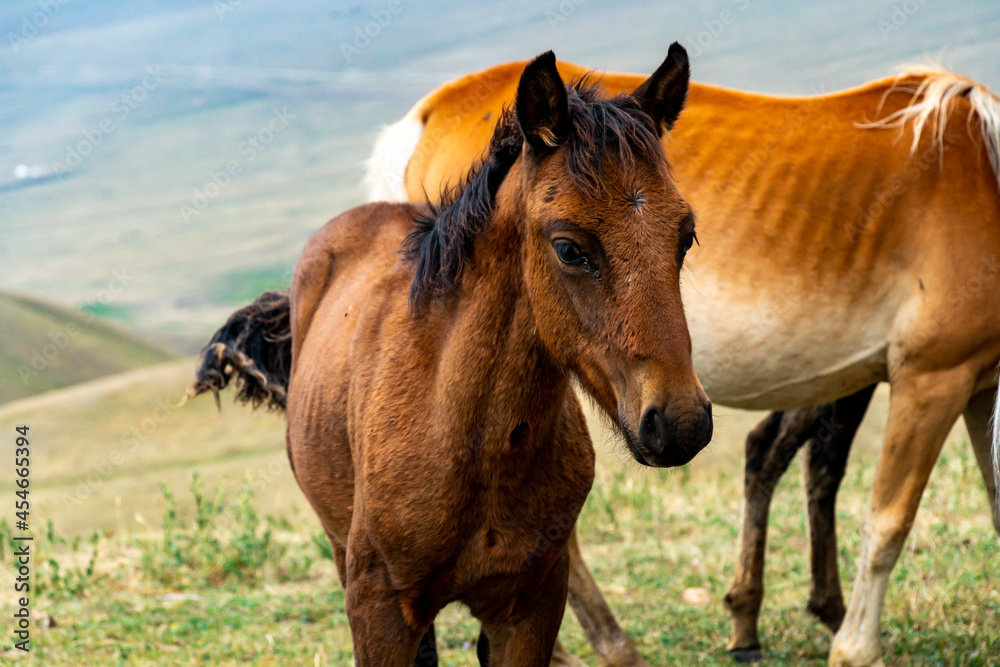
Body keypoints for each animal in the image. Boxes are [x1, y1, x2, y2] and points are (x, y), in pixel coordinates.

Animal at [190, 47, 713, 665]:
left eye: (685, 235)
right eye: (568, 248)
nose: (680, 423)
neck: (471, 441)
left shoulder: (530, 610)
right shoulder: (379, 612)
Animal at [364, 55, 1000, 667]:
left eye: (687, 237)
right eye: (569, 249)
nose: (683, 424)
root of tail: (437, 108)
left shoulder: (980, 386)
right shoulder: (931, 377)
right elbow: (888, 521)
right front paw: (854, 649)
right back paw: (608, 646)